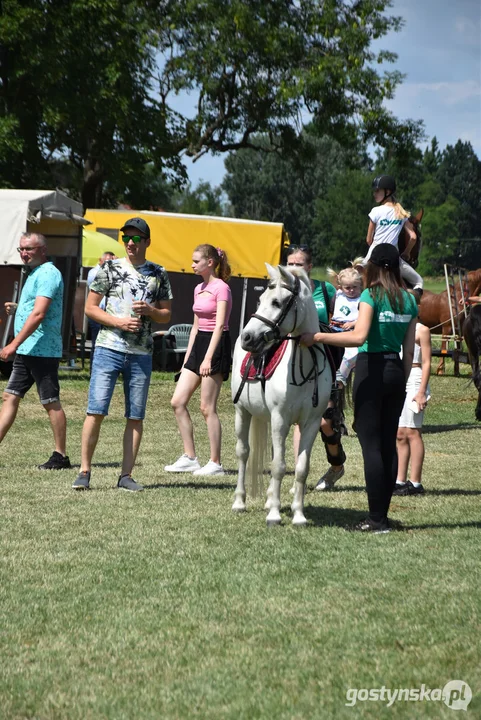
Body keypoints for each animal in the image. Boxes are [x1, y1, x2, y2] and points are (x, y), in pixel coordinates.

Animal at [231, 262, 332, 524]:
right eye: (259, 300)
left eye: (277, 302)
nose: (247, 337)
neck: (305, 367)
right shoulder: (279, 419)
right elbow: (278, 466)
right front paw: (275, 515)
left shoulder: (310, 423)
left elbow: (300, 468)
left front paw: (298, 515)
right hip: (242, 412)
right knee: (243, 453)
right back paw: (239, 502)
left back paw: (268, 499)